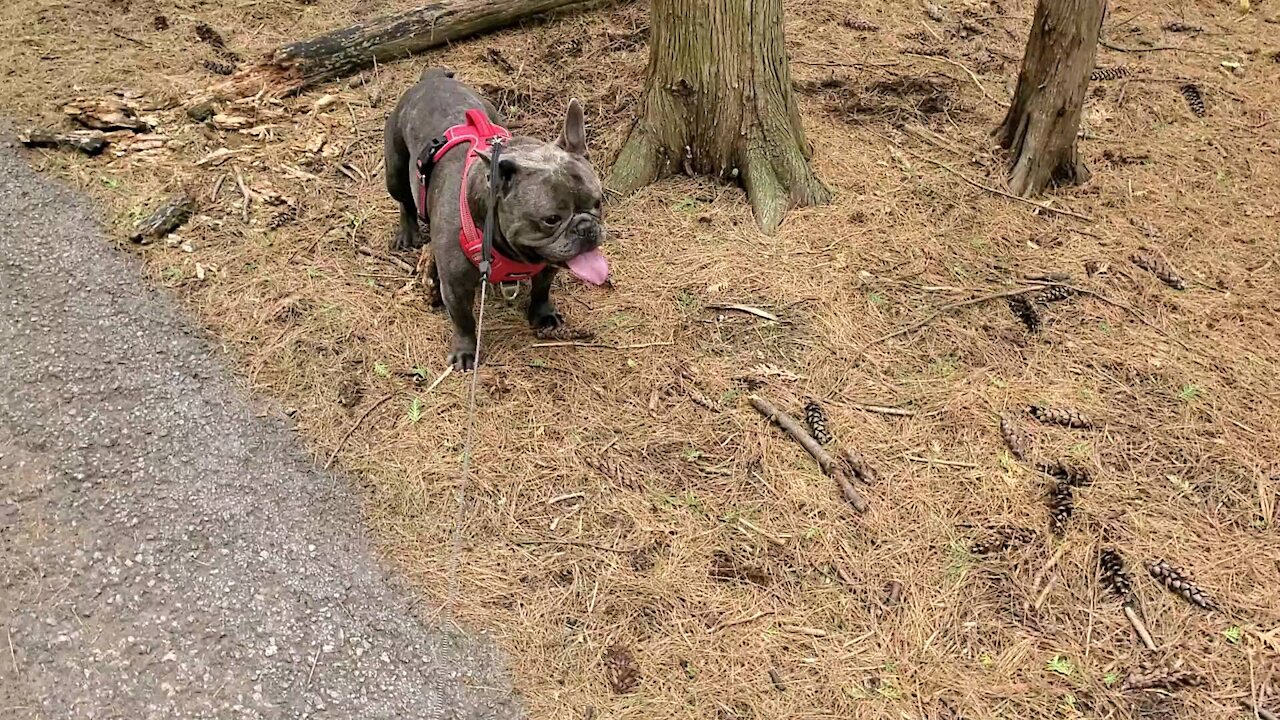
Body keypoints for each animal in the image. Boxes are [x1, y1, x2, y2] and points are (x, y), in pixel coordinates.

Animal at [381, 67, 606, 368]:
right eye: (551, 219)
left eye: (598, 203)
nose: (586, 228)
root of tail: (432, 78)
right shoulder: (456, 287)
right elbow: (463, 320)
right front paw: (465, 352)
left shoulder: (547, 265)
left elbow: (541, 289)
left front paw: (542, 315)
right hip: (394, 168)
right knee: (404, 199)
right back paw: (407, 234)